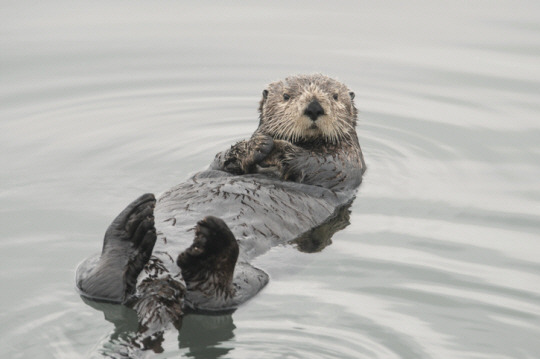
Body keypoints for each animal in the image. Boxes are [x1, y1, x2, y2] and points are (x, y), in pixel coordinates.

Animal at [76, 74, 368, 352]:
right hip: (88, 265)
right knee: (101, 288)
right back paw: (132, 228)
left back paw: (208, 250)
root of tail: (161, 284)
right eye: (287, 96)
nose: (314, 107)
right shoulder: (221, 162)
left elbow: (322, 165)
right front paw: (257, 144)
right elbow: (225, 158)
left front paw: (278, 147)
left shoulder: (348, 161)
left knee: (211, 301)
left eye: (335, 96)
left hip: (248, 279)